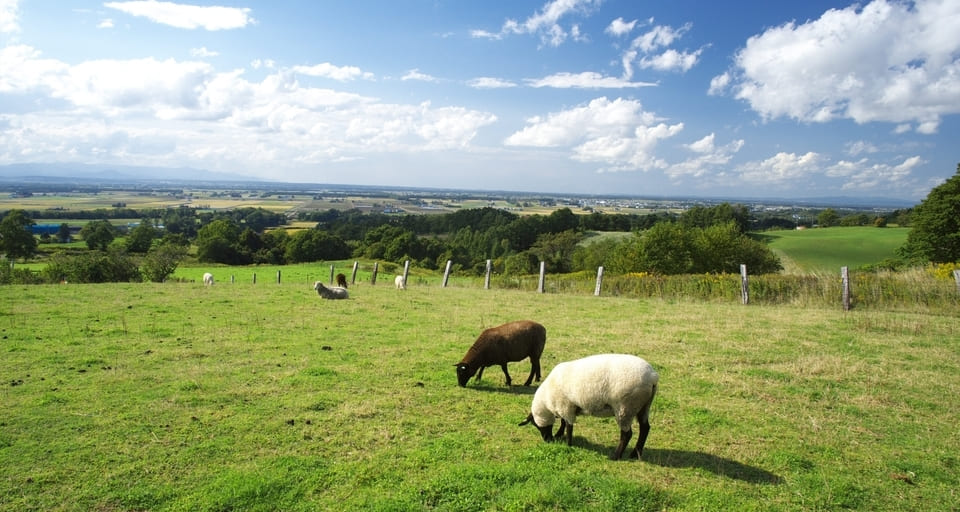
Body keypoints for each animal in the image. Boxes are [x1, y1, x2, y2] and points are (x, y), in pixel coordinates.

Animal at [516, 352, 660, 460]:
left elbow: (569, 426)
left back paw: (616, 456)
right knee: (645, 428)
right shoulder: (565, 407)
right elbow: (563, 422)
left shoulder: (566, 407)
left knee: (627, 434)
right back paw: (635, 454)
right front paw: (559, 434)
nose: (547, 440)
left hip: (625, 407)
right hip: (643, 405)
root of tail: (652, 377)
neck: (547, 401)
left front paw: (568, 444)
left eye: (536, 425)